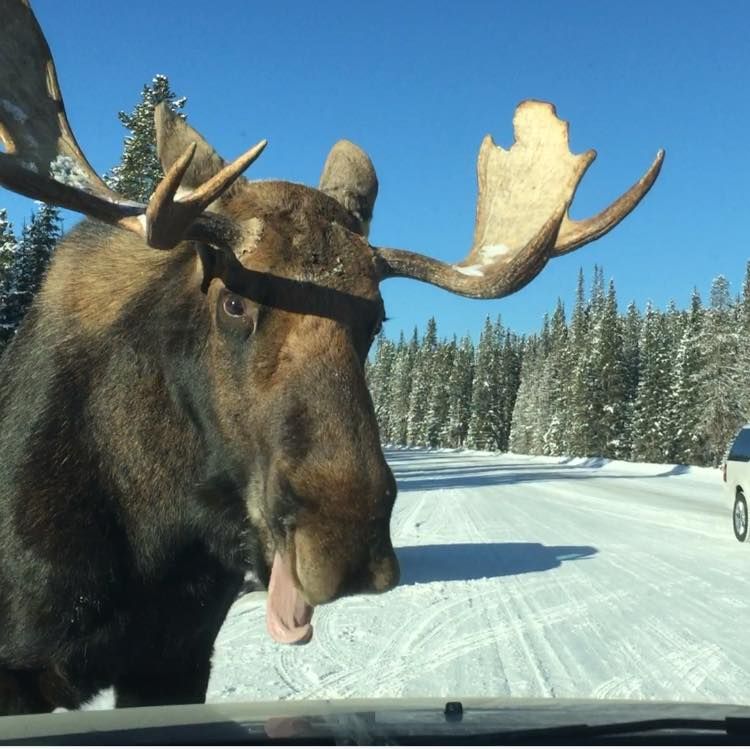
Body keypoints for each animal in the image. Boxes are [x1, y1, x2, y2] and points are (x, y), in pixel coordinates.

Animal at [0, 0, 664, 714]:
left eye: (377, 319)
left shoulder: (178, 654)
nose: (344, 543)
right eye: (232, 301)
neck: (150, 530)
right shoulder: (23, 665)